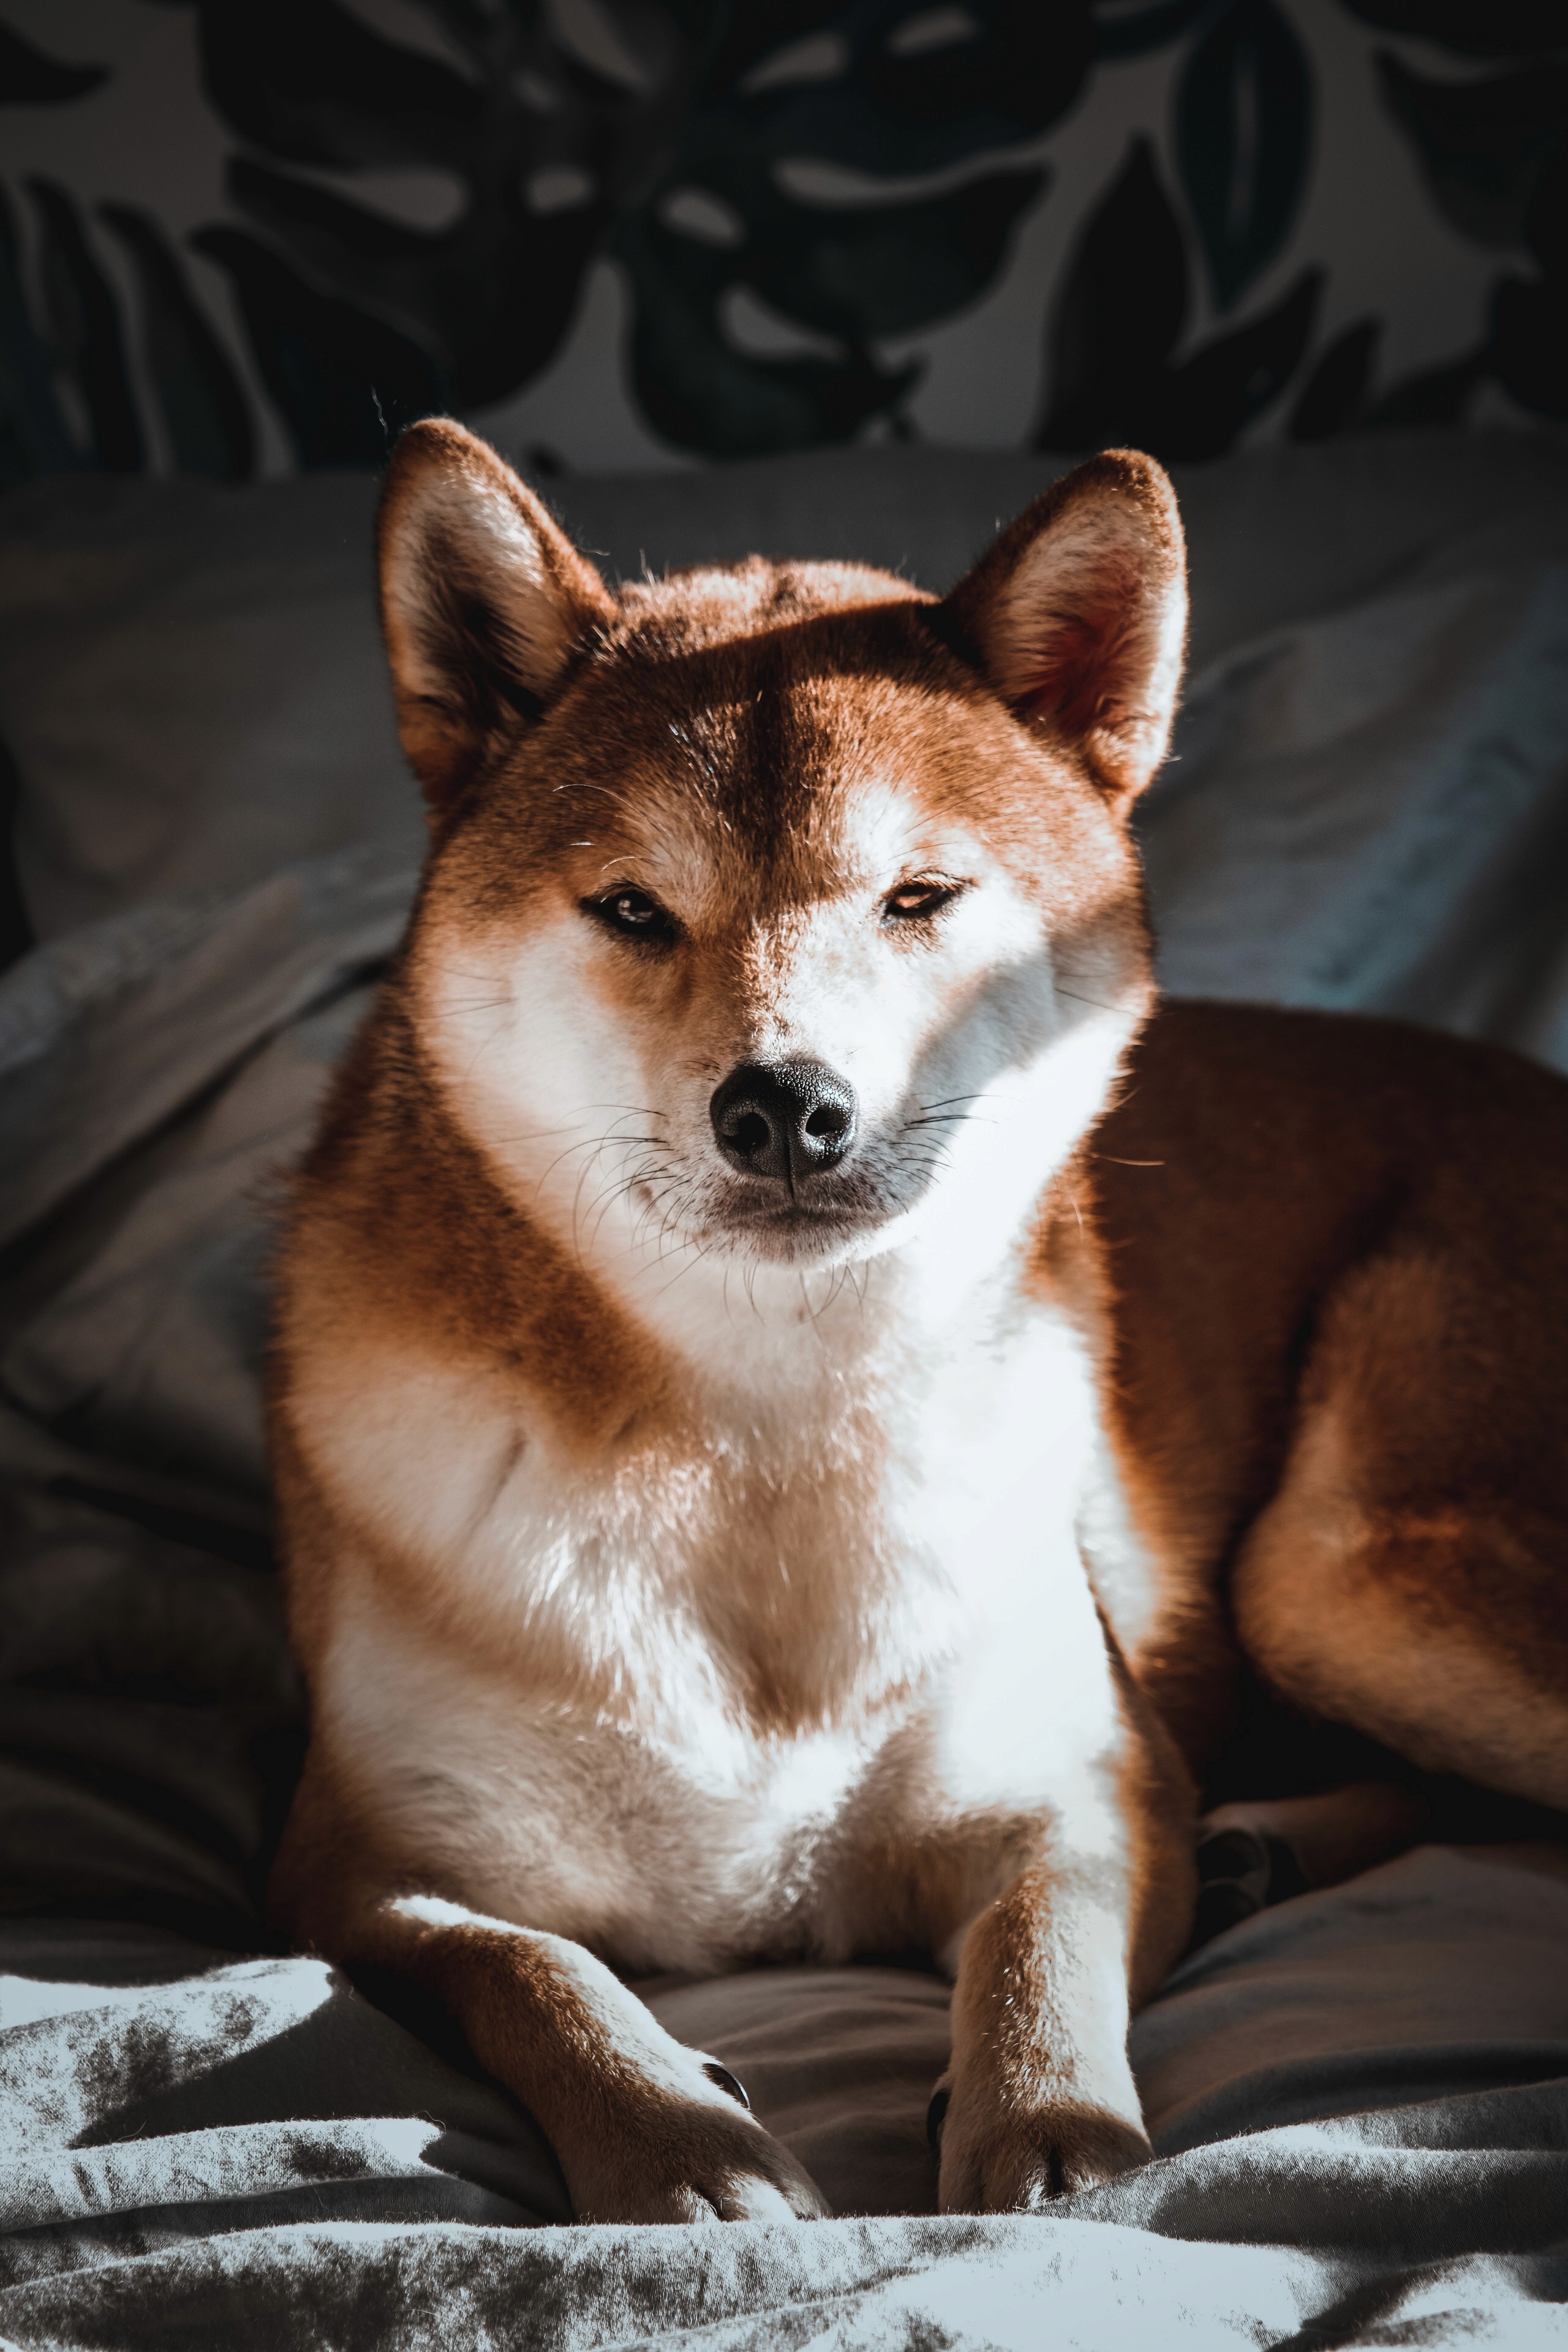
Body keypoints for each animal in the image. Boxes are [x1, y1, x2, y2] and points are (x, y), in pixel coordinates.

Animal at [270, 423, 1568, 2220]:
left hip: (1336, 1577)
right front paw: (676, 2139)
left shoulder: (1080, 1791)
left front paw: (1048, 2121)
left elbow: (1042, 1945)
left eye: (918, 898)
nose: (785, 1108)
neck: (769, 1425)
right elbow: (529, 1973)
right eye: (631, 909)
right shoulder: (372, 1869)